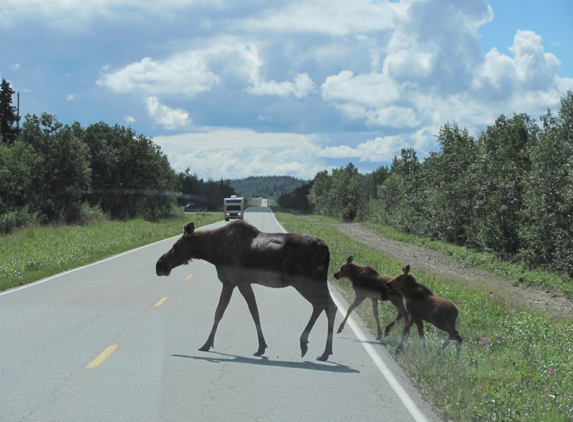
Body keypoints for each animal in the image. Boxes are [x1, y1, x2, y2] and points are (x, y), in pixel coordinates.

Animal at [154, 219, 338, 362]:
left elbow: (253, 311)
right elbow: (219, 312)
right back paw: (325, 352)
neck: (212, 252)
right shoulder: (229, 283)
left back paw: (306, 344)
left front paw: (261, 347)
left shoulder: (240, 281)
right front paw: (207, 344)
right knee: (330, 305)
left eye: (176, 246)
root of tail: (326, 248)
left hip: (303, 281)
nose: (159, 265)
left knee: (320, 304)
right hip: (319, 281)